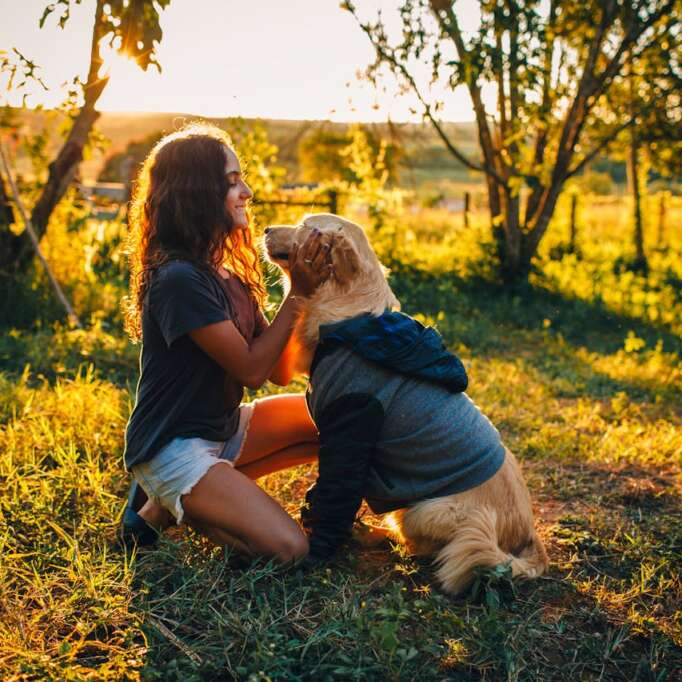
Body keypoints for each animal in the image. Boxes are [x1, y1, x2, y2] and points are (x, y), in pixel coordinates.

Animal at [262, 214, 548, 596]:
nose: (264, 228)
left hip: (426, 511)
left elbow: (335, 491)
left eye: (307, 225)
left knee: (421, 547)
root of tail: (528, 538)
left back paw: (371, 532)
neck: (350, 321)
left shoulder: (351, 422)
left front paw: (315, 548)